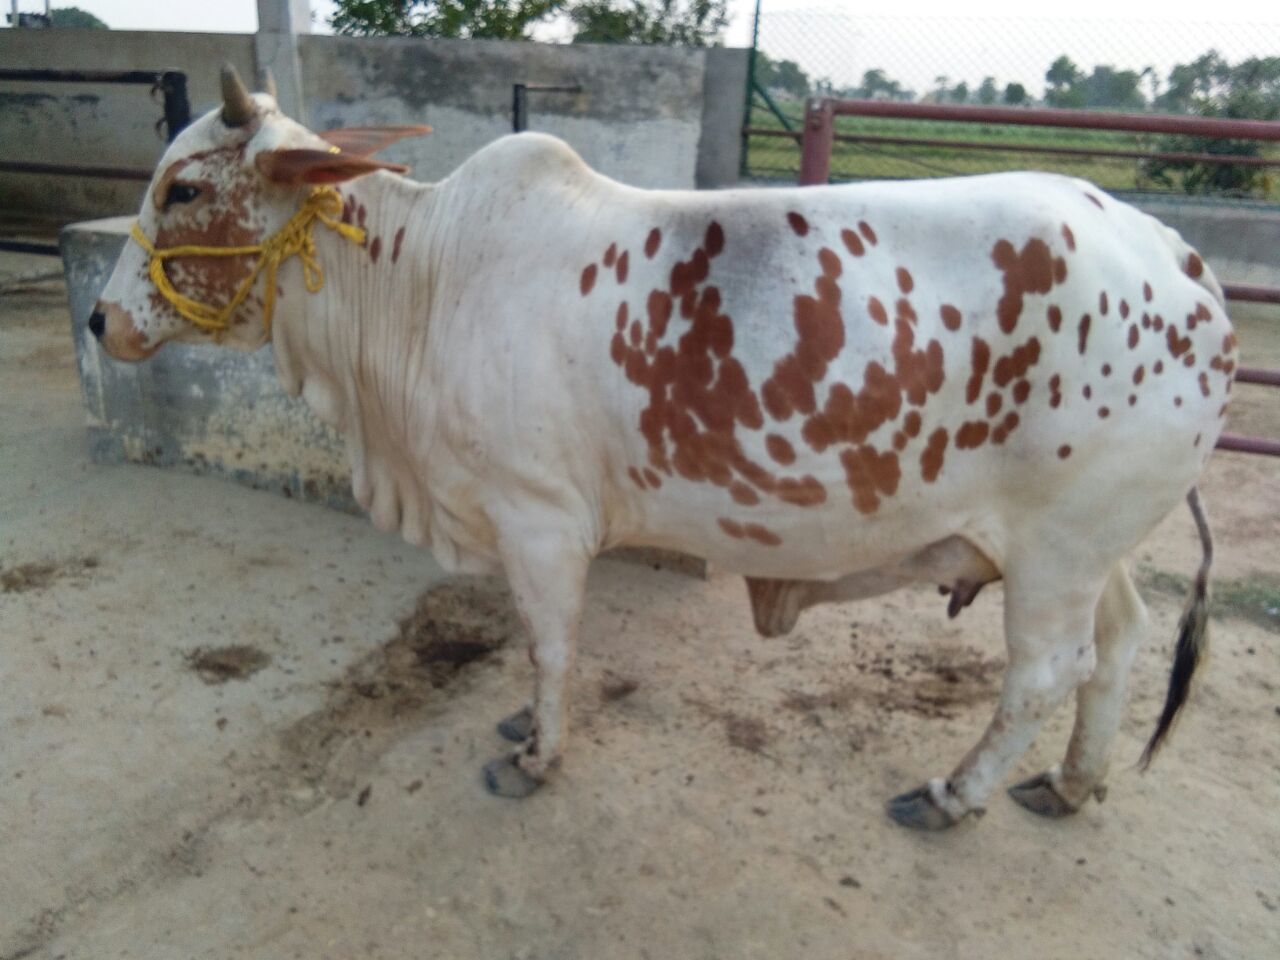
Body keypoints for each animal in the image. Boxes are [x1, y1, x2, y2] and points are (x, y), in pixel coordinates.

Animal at [90, 66, 1235, 830]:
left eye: (184, 190)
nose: (99, 321)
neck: (426, 278)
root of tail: (1175, 253)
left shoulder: (539, 519)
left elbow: (549, 643)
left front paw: (536, 754)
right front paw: (522, 728)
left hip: (1056, 549)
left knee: (1042, 672)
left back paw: (953, 793)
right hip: (1089, 547)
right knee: (1118, 647)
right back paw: (1070, 782)